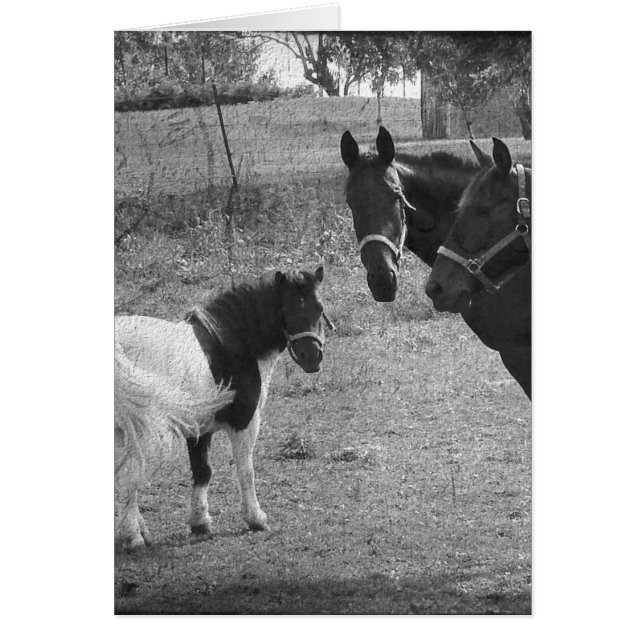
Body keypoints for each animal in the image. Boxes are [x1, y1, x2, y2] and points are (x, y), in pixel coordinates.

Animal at [114, 267, 331, 549]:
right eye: (285, 308)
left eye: (319, 307)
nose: (311, 357)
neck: (229, 344)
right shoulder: (245, 422)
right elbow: (245, 470)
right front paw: (256, 518)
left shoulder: (199, 429)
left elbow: (202, 471)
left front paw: (200, 522)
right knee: (128, 478)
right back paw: (133, 537)